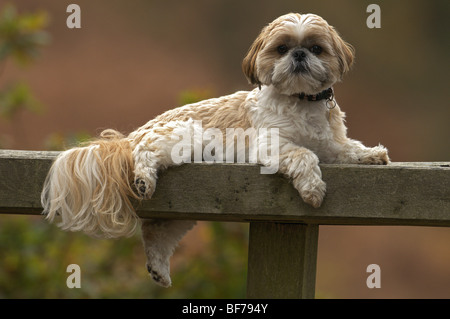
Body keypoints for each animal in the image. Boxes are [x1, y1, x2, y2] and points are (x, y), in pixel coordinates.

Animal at [40, 12, 388, 288]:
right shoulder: (272, 145)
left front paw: (371, 154)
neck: (303, 101)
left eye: (317, 48)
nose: (300, 54)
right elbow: (304, 155)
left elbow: (345, 149)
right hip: (183, 137)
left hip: (181, 214)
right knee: (146, 152)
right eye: (282, 48)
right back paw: (143, 179)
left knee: (157, 230)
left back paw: (158, 267)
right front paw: (314, 189)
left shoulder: (330, 142)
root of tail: (134, 133)